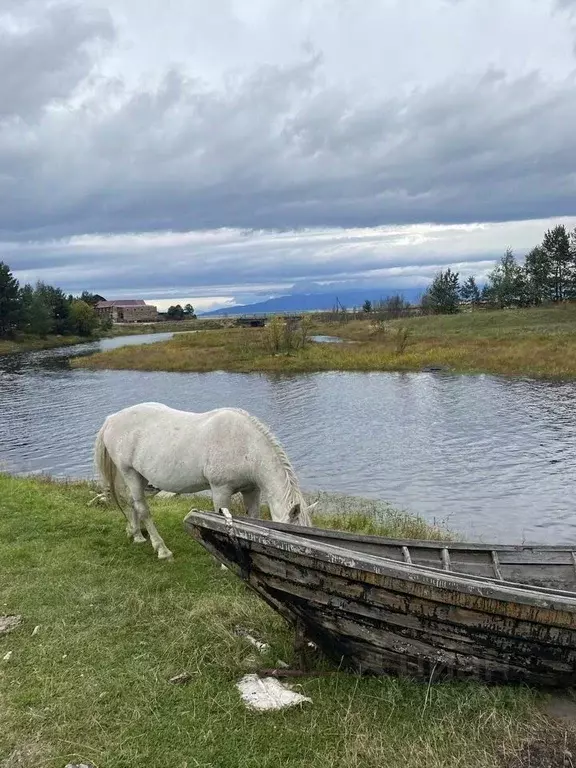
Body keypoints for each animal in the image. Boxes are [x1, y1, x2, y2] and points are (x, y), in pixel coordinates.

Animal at [93, 402, 316, 560]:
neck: (247, 447)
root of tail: (111, 420)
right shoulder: (220, 490)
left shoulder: (252, 490)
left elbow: (252, 518)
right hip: (129, 472)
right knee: (142, 508)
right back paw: (162, 550)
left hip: (137, 475)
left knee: (131, 502)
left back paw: (137, 535)